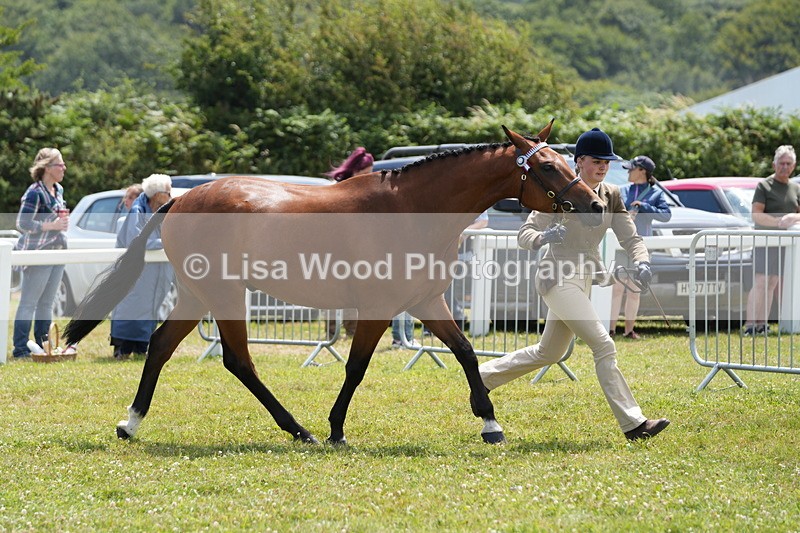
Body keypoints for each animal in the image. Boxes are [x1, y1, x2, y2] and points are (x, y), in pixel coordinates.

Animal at [64, 122, 605, 445]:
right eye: (547, 166)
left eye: (566, 161)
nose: (596, 205)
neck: (410, 209)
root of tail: (181, 199)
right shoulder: (378, 309)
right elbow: (356, 367)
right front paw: (336, 429)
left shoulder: (426, 302)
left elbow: (468, 353)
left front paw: (490, 422)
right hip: (223, 293)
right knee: (238, 360)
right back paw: (298, 429)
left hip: (199, 295)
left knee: (160, 346)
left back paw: (130, 422)